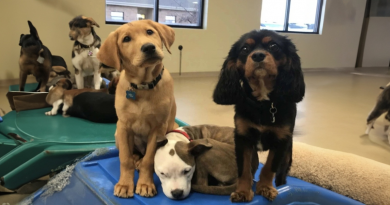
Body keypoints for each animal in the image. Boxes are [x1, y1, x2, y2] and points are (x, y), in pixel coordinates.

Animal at [97, 20, 177, 198]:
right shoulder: (123, 126)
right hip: (118, 134)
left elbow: (149, 159)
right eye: (126, 39)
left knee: (144, 155)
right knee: (132, 153)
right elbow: (124, 158)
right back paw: (135, 159)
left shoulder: (158, 128)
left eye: (150, 32)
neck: (143, 86)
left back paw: (139, 162)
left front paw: (145, 184)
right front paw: (125, 184)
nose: (149, 47)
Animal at [213, 29, 304, 201]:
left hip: (287, 156)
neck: (263, 103)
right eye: (245, 49)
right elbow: (244, 169)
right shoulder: (243, 138)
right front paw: (243, 191)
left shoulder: (281, 141)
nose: (258, 55)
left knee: (281, 174)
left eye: (273, 46)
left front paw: (265, 188)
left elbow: (269, 167)